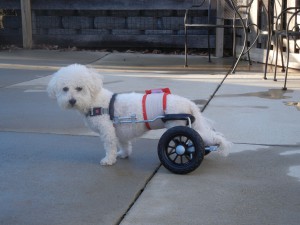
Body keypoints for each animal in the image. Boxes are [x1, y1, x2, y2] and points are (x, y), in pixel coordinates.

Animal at [47, 63, 230, 165]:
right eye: (65, 89)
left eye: (79, 88)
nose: (71, 101)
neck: (95, 101)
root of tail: (189, 103)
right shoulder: (119, 132)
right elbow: (124, 144)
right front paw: (124, 154)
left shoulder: (107, 131)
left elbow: (110, 146)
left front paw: (109, 160)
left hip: (177, 126)